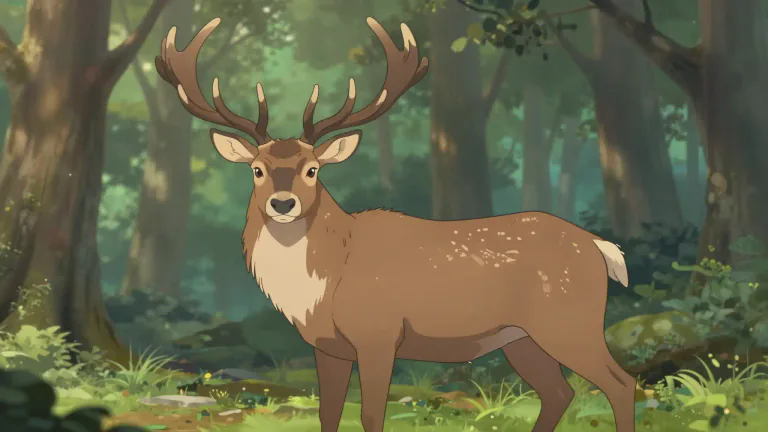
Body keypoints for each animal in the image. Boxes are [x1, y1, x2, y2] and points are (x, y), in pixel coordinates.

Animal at [156, 16, 637, 432]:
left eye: (313, 169)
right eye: (256, 169)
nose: (283, 202)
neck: (326, 282)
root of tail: (601, 248)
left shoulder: (379, 333)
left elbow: (372, 416)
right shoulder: (327, 346)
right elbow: (328, 415)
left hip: (569, 320)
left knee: (621, 382)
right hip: (521, 338)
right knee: (559, 392)